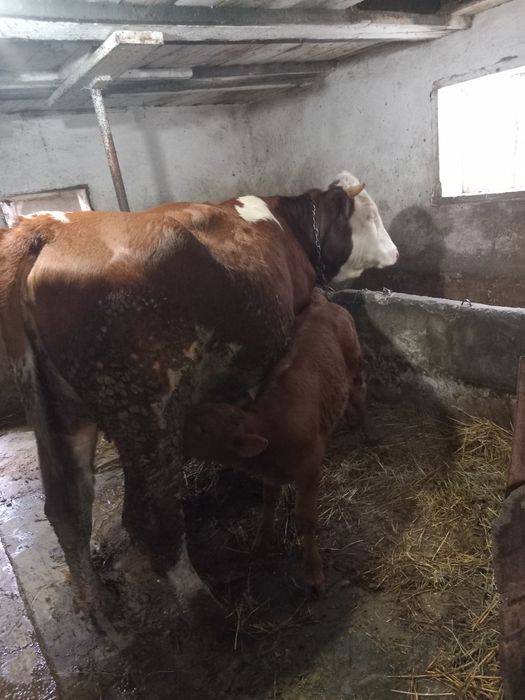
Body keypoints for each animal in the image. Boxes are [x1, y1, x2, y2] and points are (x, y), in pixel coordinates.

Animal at [184, 289, 369, 597]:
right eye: (201, 410)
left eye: (203, 430)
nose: (175, 420)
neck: (269, 427)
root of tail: (322, 302)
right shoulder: (270, 475)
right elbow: (268, 501)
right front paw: (262, 540)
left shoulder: (310, 469)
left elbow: (305, 518)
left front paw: (313, 574)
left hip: (354, 363)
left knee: (359, 391)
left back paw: (364, 429)